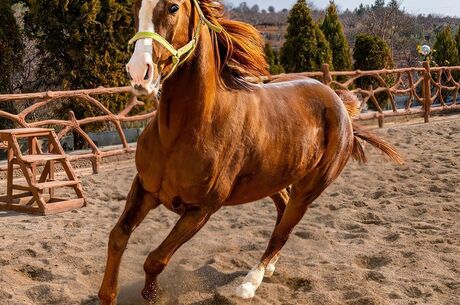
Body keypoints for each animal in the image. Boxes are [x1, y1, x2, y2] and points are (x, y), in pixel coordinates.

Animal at [99, 0, 400, 302]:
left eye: (173, 8)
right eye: (136, 7)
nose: (139, 72)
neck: (178, 134)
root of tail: (340, 105)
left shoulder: (201, 209)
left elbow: (155, 259)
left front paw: (151, 294)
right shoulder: (145, 188)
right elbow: (117, 236)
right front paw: (107, 295)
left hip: (309, 189)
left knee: (283, 230)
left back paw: (250, 283)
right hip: (272, 179)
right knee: (282, 211)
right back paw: (269, 268)